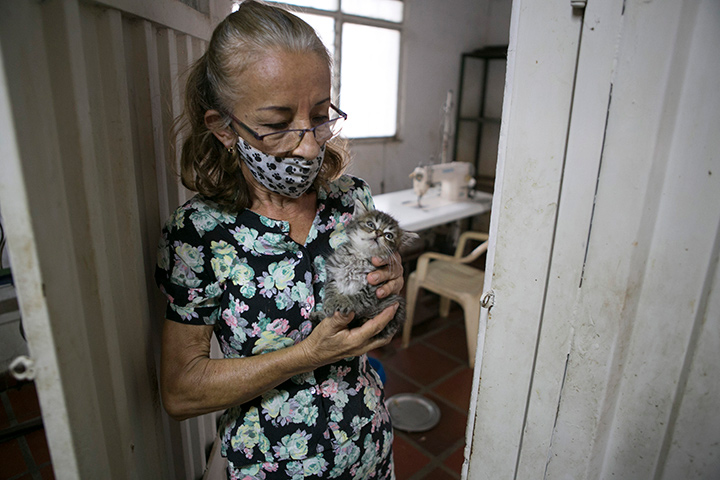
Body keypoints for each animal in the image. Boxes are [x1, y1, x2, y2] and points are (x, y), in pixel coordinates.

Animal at [312, 199, 420, 338]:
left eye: (389, 235)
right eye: (370, 224)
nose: (378, 233)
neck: (360, 256)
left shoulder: (373, 289)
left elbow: (357, 298)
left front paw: (344, 301)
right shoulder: (333, 273)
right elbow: (330, 290)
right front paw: (330, 303)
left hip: (396, 302)